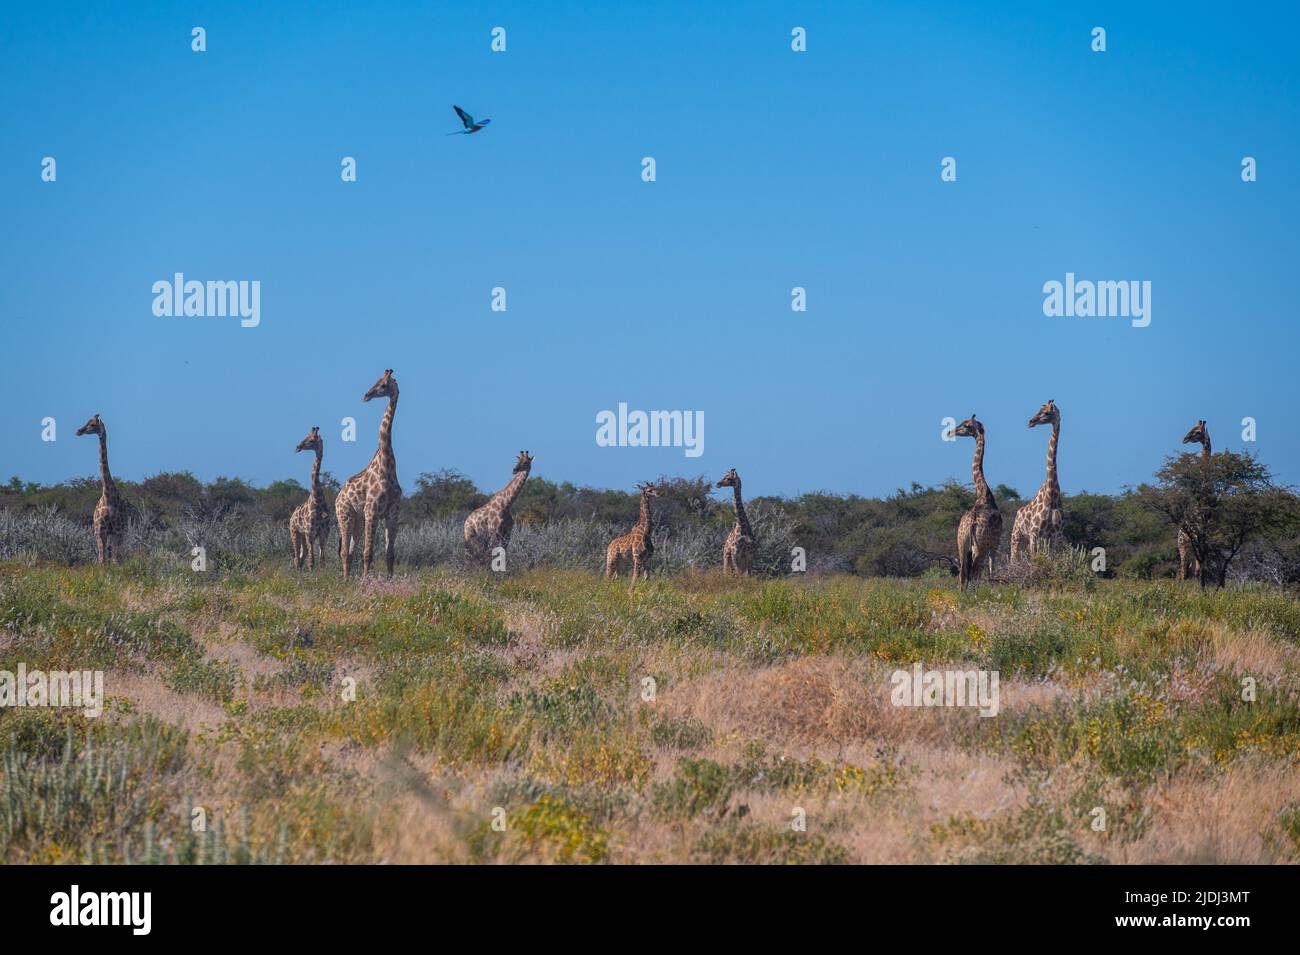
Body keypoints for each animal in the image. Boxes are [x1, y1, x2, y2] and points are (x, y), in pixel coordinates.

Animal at [74, 414, 135, 563]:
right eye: (87, 422)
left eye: (92, 424)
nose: (78, 431)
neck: (108, 496)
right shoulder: (100, 531)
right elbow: (102, 561)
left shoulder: (117, 530)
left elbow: (116, 560)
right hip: (102, 533)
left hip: (119, 533)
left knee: (116, 556)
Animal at [290, 426, 331, 570]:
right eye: (305, 436)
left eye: (312, 440)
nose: (297, 447)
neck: (317, 499)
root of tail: (292, 515)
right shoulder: (310, 533)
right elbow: (311, 562)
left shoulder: (324, 533)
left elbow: (322, 561)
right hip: (295, 533)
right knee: (297, 558)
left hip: (302, 536)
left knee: (301, 558)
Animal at [335, 370, 403, 578]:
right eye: (376, 381)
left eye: (383, 385)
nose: (366, 395)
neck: (387, 465)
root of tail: (338, 497)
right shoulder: (371, 510)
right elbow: (368, 552)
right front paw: (365, 581)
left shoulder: (392, 513)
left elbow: (390, 554)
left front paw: (390, 579)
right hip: (345, 515)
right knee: (344, 551)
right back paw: (345, 580)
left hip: (357, 520)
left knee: (349, 551)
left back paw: (348, 578)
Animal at [953, 415, 1002, 589]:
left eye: (966, 425)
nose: (952, 431)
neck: (983, 492)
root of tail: (972, 523)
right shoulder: (994, 545)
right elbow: (992, 571)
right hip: (979, 547)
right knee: (973, 573)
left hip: (962, 544)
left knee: (963, 574)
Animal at [1011, 399, 1065, 561]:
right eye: (1038, 410)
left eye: (1046, 413)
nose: (1031, 422)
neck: (1051, 493)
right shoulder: (1034, 533)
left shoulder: (1056, 536)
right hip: (1016, 536)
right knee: (1012, 559)